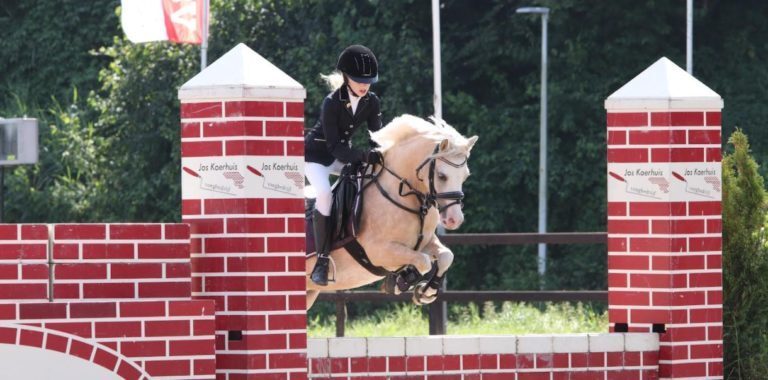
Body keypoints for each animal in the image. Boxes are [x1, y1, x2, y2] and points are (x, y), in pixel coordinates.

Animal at [304, 115, 474, 308]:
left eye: (465, 176)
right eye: (441, 176)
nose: (454, 220)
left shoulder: (425, 241)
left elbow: (446, 256)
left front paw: (425, 292)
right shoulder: (380, 251)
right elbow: (423, 261)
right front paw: (402, 281)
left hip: (310, 292)